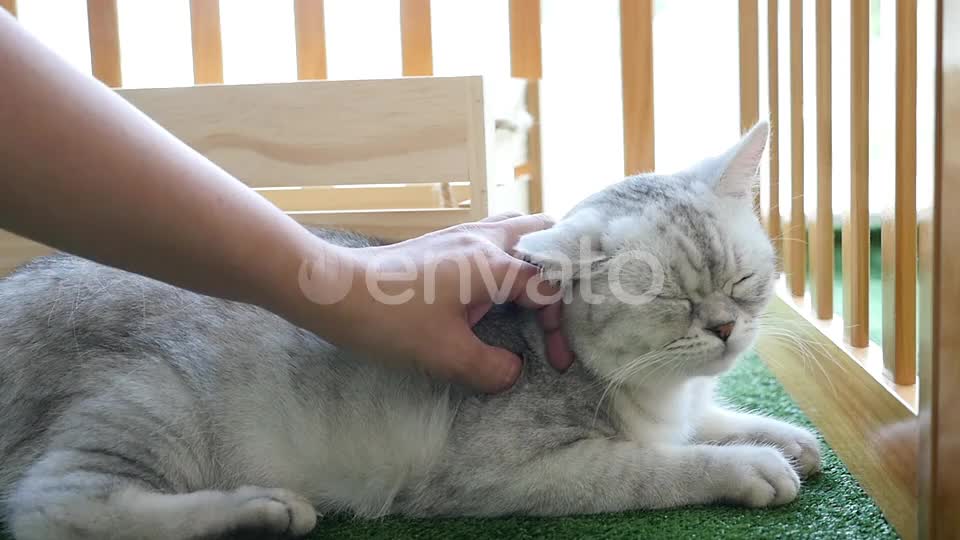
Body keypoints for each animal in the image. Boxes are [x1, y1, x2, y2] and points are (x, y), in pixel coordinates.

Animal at [1, 122, 816, 540]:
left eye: (743, 281)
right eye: (673, 300)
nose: (725, 327)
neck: (657, 396)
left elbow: (711, 420)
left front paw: (782, 434)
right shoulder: (510, 473)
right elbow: (654, 466)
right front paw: (750, 464)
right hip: (149, 399)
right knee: (54, 509)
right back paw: (260, 512)